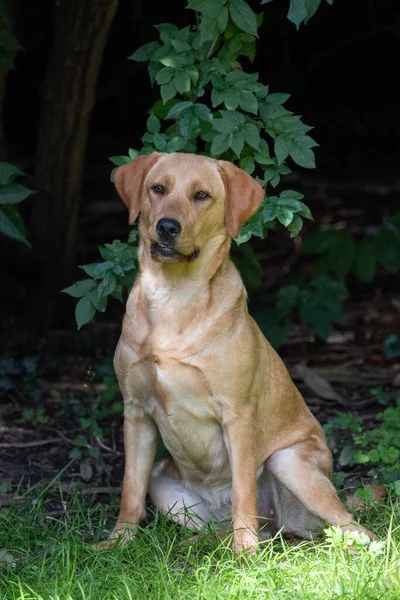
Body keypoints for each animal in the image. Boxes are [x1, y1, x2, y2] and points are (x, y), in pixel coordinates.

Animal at [107, 152, 376, 556]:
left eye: (201, 195)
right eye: (158, 188)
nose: (166, 227)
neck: (174, 298)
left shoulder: (238, 415)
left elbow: (244, 490)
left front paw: (245, 555)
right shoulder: (136, 411)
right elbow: (129, 490)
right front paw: (117, 543)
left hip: (288, 461)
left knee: (350, 526)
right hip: (164, 485)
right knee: (227, 528)